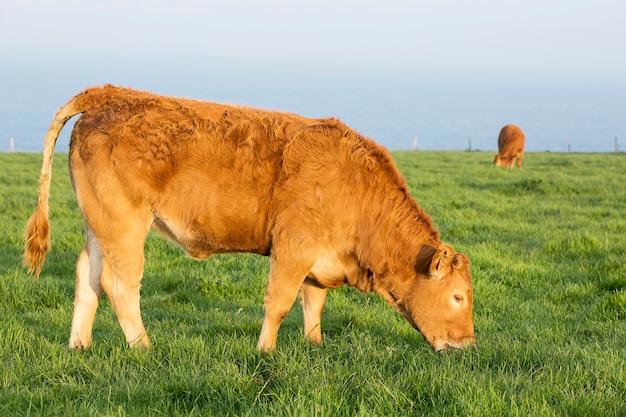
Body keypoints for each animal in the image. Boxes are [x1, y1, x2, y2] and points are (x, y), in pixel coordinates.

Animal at [23, 84, 472, 352]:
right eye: (458, 297)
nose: (469, 343)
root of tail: (112, 94)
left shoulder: (317, 257)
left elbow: (314, 304)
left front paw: (315, 346)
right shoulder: (293, 247)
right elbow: (280, 303)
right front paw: (266, 351)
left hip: (97, 224)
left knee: (86, 277)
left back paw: (79, 345)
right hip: (124, 225)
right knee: (119, 285)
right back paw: (144, 347)